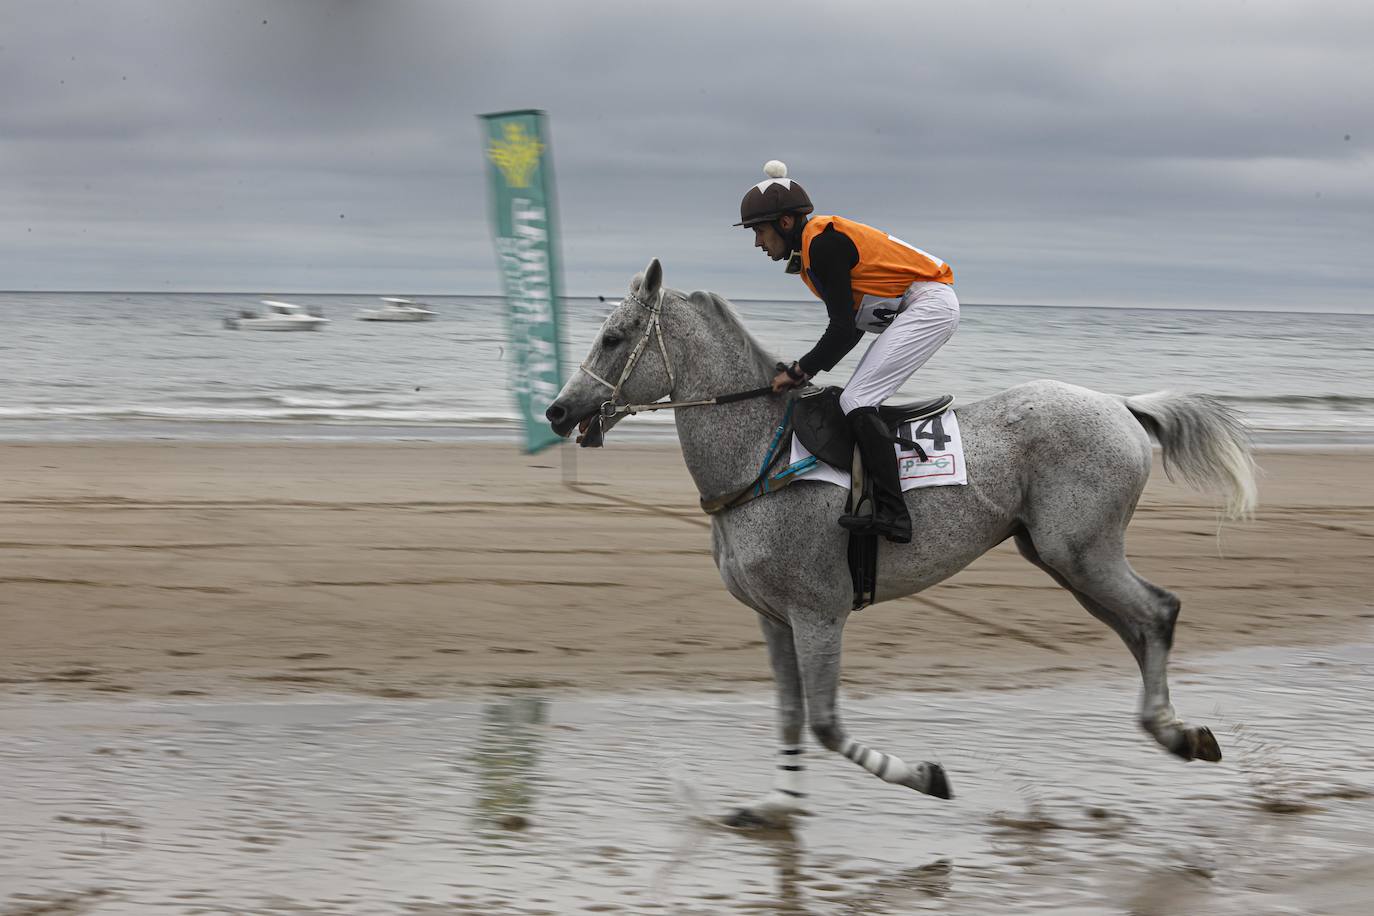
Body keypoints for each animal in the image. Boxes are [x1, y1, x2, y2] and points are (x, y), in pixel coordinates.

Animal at [544, 259, 1258, 829]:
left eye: (612, 338)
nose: (556, 411)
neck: (760, 457)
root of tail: (1121, 405)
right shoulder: (774, 618)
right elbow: (790, 718)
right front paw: (777, 805)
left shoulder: (818, 614)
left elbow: (827, 725)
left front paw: (926, 777)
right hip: (1062, 560)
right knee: (1139, 626)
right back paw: (1178, 732)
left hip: (1082, 552)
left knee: (1158, 612)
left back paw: (1172, 731)